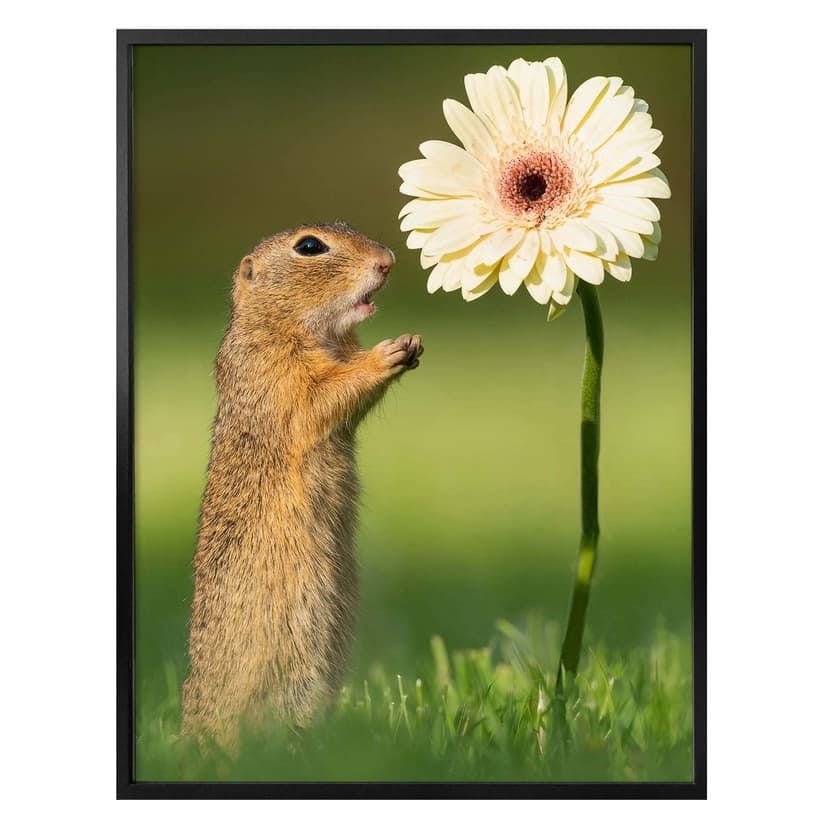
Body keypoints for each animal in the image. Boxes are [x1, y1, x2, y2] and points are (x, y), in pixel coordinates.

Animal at [181, 222, 423, 745]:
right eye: (309, 246)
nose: (388, 260)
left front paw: (412, 344)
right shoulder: (279, 377)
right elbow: (322, 399)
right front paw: (389, 352)